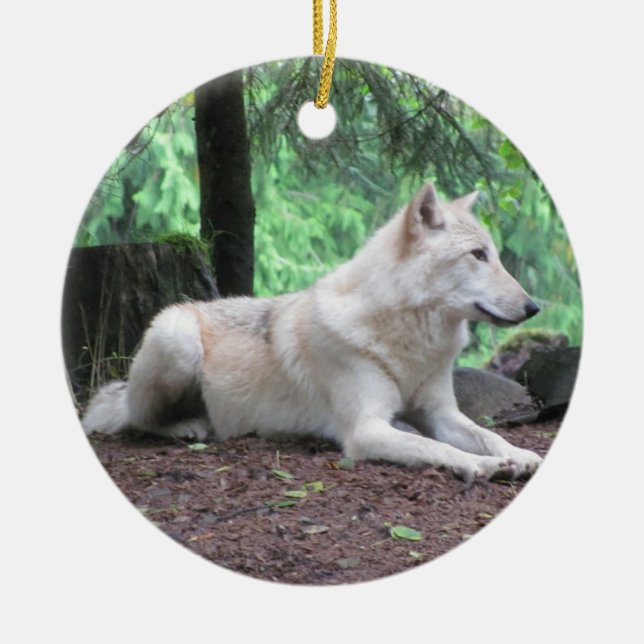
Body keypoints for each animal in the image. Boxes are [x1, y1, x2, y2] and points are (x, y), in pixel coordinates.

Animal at [82, 183, 543, 482]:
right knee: (139, 422)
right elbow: (439, 449)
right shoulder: (366, 431)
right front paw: (484, 466)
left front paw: (520, 455)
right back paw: (190, 427)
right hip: (176, 340)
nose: (534, 307)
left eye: (495, 255)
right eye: (478, 255)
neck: (406, 339)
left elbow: (487, 434)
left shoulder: (440, 413)